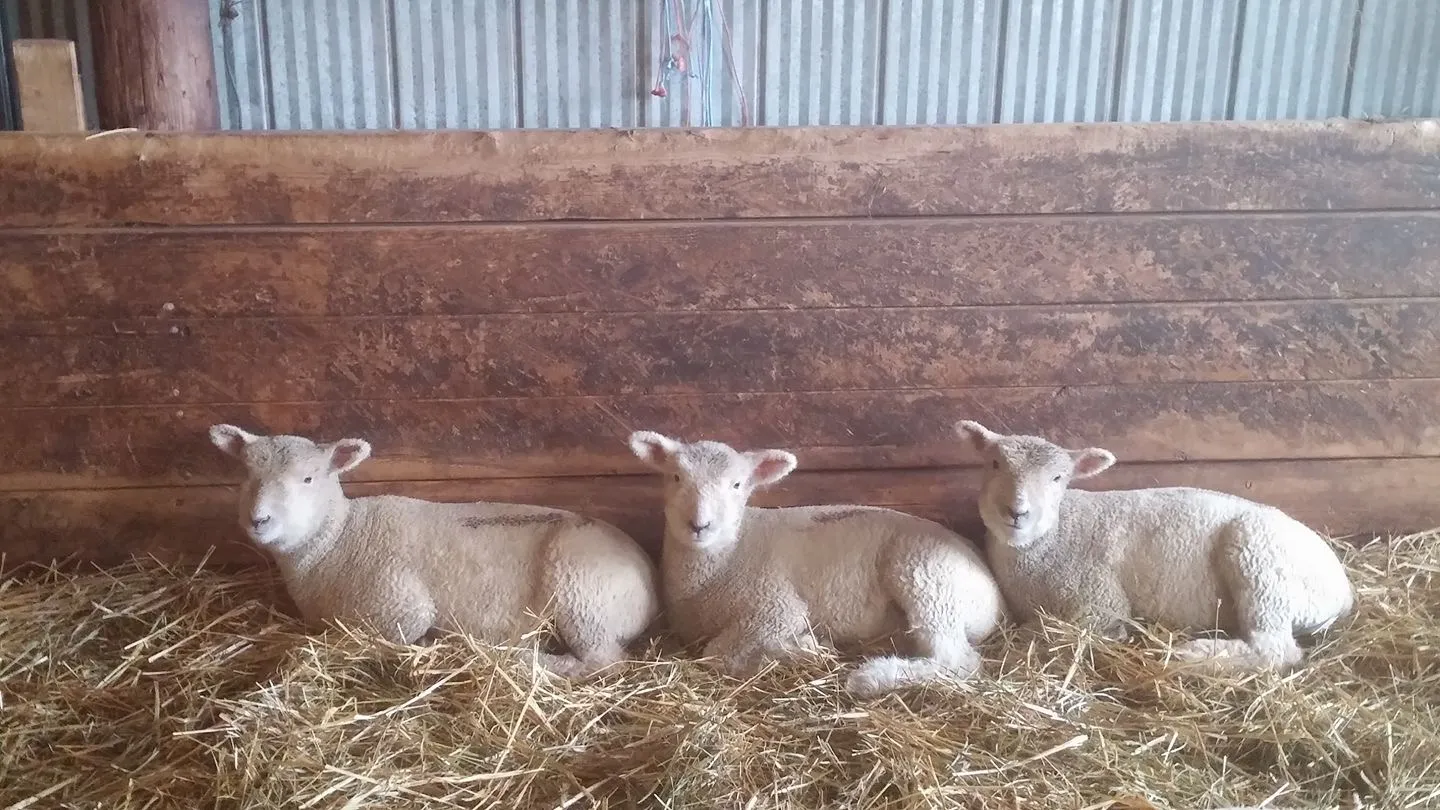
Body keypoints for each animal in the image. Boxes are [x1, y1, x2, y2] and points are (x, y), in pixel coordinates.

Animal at [208, 424, 660, 677]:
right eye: (246, 473)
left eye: (308, 478)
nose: (259, 520)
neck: (338, 539)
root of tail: (650, 579)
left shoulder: (399, 607)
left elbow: (398, 636)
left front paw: (428, 645)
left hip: (583, 599)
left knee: (603, 662)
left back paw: (531, 661)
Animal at [627, 430, 1006, 696]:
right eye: (676, 477)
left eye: (737, 484)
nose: (699, 525)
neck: (727, 557)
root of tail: (995, 596)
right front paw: (800, 648)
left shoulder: (776, 607)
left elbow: (717, 652)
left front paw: (802, 649)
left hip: (930, 582)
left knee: (957, 662)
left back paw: (871, 678)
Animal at [954, 420, 1355, 673]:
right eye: (993, 463)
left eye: (1058, 478)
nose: (1017, 512)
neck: (1051, 540)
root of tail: (1344, 592)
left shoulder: (1100, 602)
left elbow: (1039, 632)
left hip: (1261, 561)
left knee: (1275, 648)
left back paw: (1194, 655)